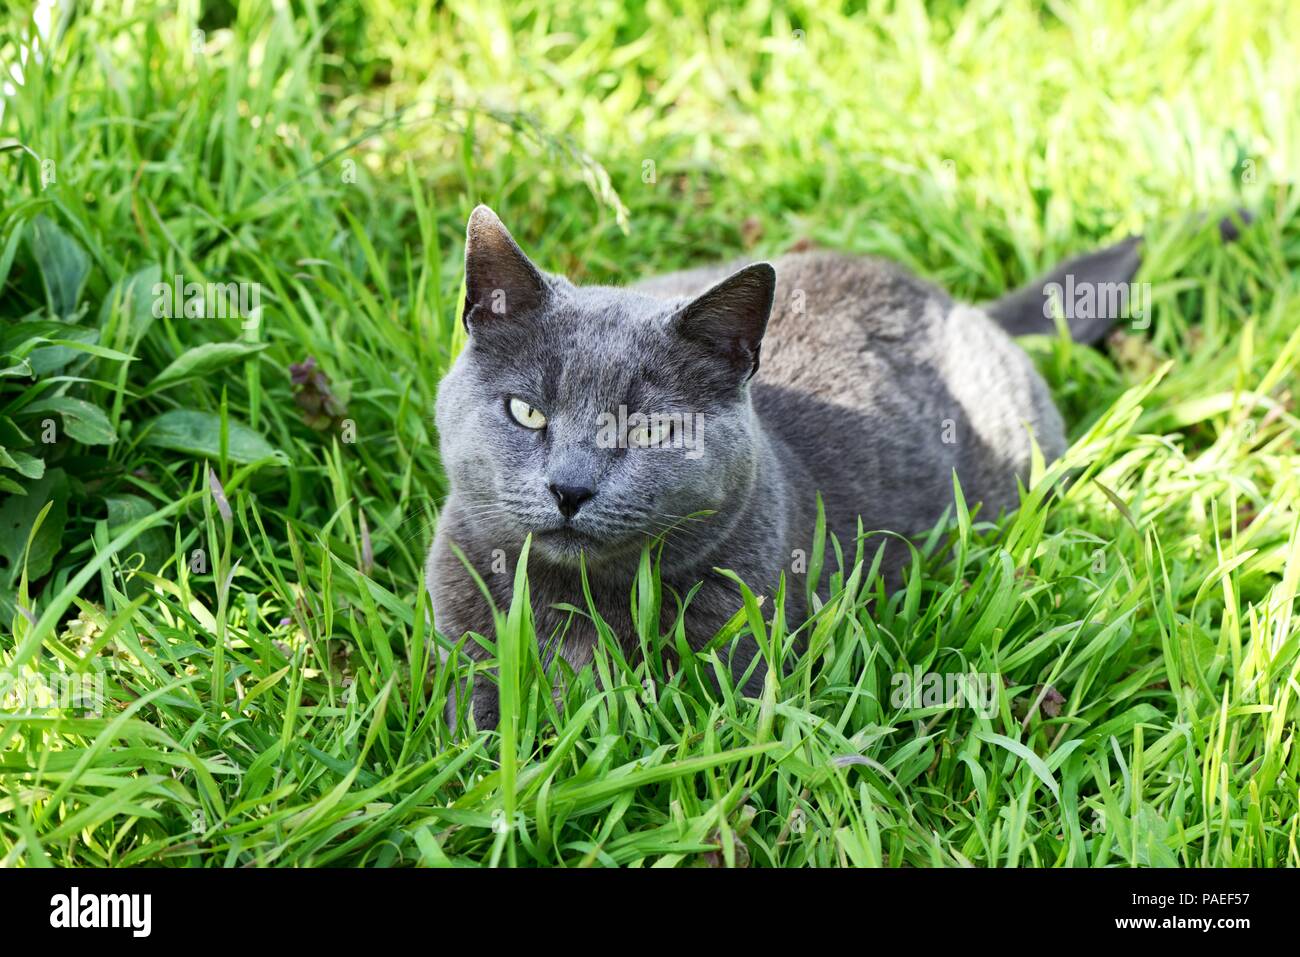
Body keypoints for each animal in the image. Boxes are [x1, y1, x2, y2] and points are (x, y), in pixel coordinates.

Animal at [434, 204, 1227, 722]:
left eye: (655, 428)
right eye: (527, 412)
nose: (569, 487)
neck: (580, 599)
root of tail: (960, 304)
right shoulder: (460, 638)